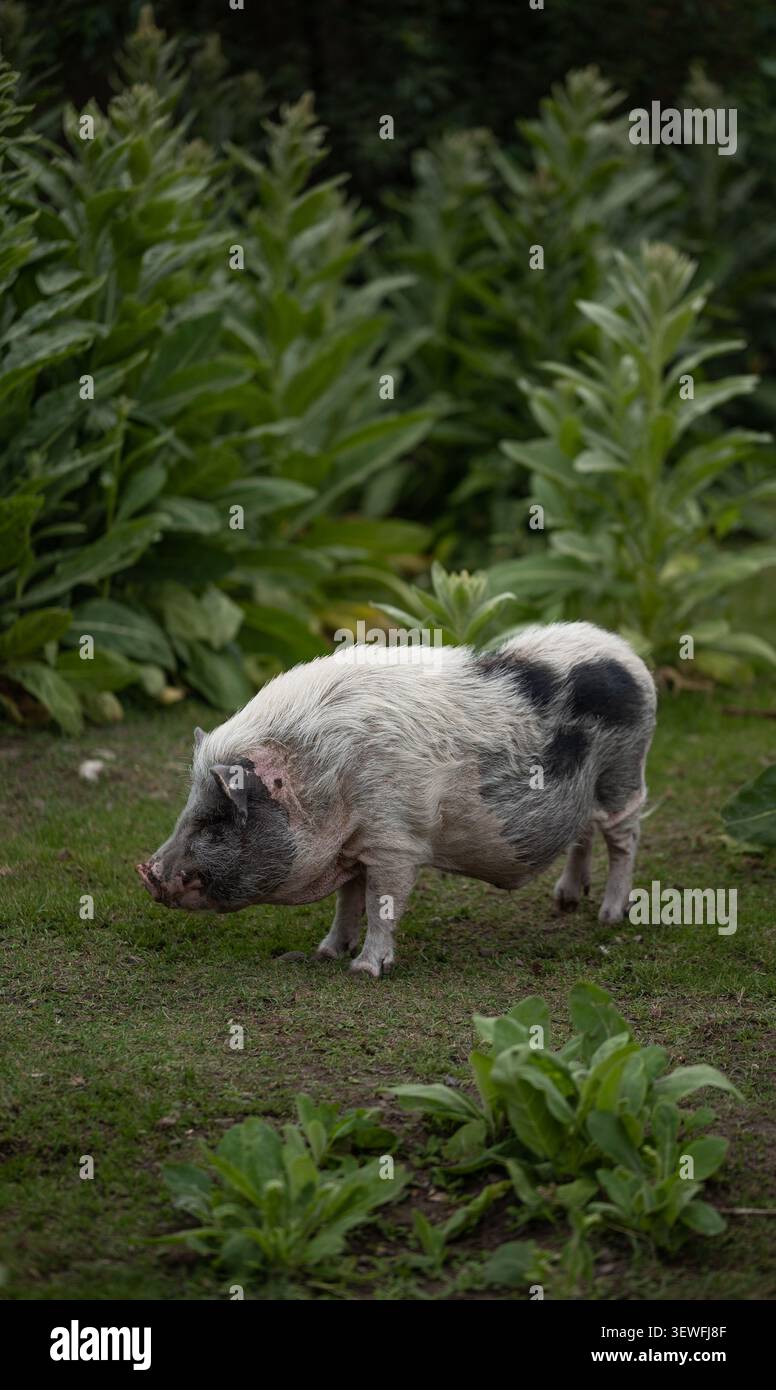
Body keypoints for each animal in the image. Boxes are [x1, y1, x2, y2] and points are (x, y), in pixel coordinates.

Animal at [136, 621, 656, 976]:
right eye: (190, 811)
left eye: (218, 821)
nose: (149, 872)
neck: (326, 776)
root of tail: (627, 654)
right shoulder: (351, 844)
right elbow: (346, 902)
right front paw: (325, 953)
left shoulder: (395, 841)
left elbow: (381, 904)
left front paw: (364, 970)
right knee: (582, 832)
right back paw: (566, 902)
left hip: (623, 774)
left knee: (625, 838)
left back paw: (609, 917)